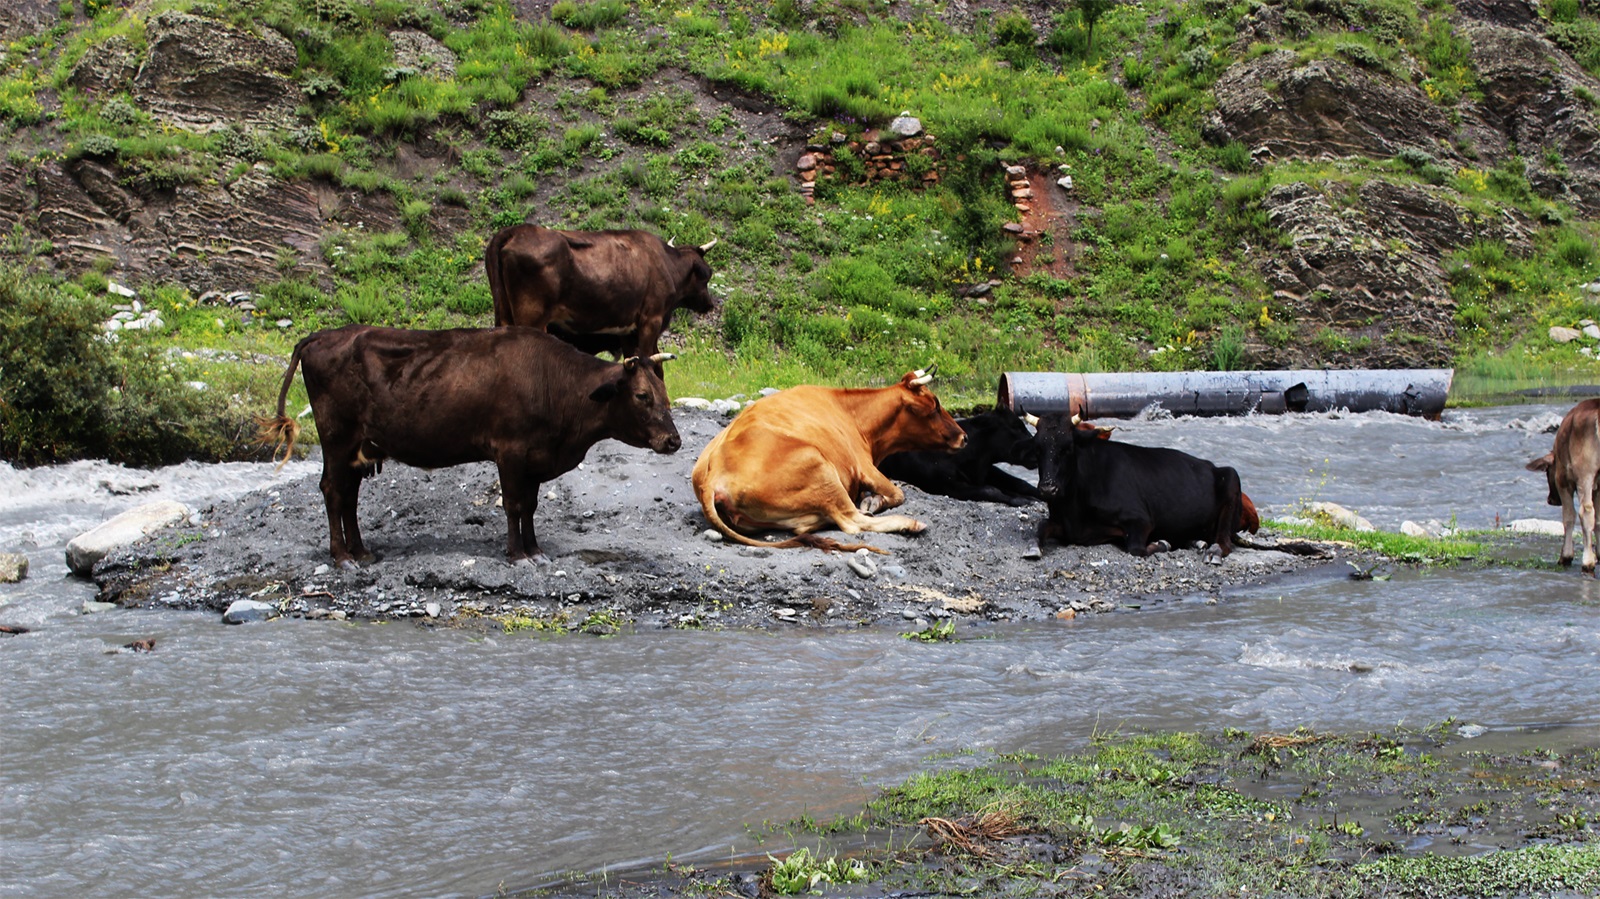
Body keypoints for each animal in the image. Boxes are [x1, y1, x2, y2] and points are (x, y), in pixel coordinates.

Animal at [483, 223, 716, 356]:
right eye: (707, 274)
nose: (709, 304)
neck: (666, 263)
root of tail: (515, 231)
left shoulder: (628, 331)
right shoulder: (651, 320)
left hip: (504, 312)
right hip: (532, 317)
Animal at [694, 366, 966, 550]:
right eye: (935, 406)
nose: (963, 437)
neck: (854, 416)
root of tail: (712, 474)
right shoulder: (864, 466)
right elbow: (897, 493)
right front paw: (872, 502)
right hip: (820, 467)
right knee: (851, 521)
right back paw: (909, 523)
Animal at [883, 407, 1043, 505]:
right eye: (1017, 427)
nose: (1038, 448)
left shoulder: (987, 470)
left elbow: (1020, 483)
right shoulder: (947, 485)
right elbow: (990, 489)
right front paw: (1021, 500)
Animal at [1030, 412, 1241, 553]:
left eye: (1068, 447)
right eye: (1037, 448)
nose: (1048, 488)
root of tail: (1210, 465)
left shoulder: (1141, 520)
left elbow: (1137, 548)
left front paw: (1162, 543)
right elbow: (1041, 526)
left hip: (1232, 477)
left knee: (1224, 541)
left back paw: (1214, 551)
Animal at [1523, 398, 1600, 572]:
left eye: (1547, 471)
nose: (1551, 499)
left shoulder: (1563, 481)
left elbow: (1569, 517)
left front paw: (1566, 555)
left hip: (1585, 473)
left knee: (1585, 512)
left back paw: (1587, 562)